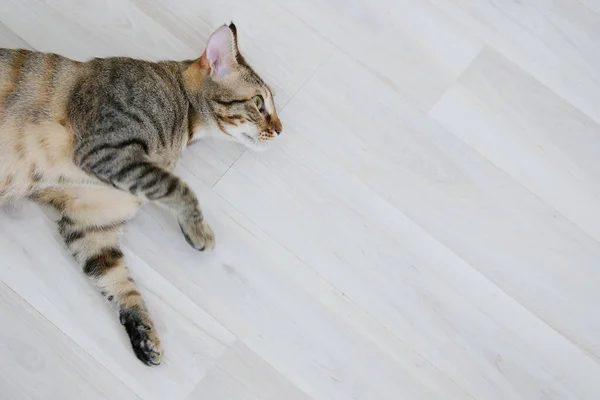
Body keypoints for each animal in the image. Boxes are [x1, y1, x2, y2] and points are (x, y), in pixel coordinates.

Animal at [0, 21, 282, 366]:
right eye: (258, 102)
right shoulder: (105, 151)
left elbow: (120, 283)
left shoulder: (91, 222)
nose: (280, 129)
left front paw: (144, 334)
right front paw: (198, 230)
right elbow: (179, 187)